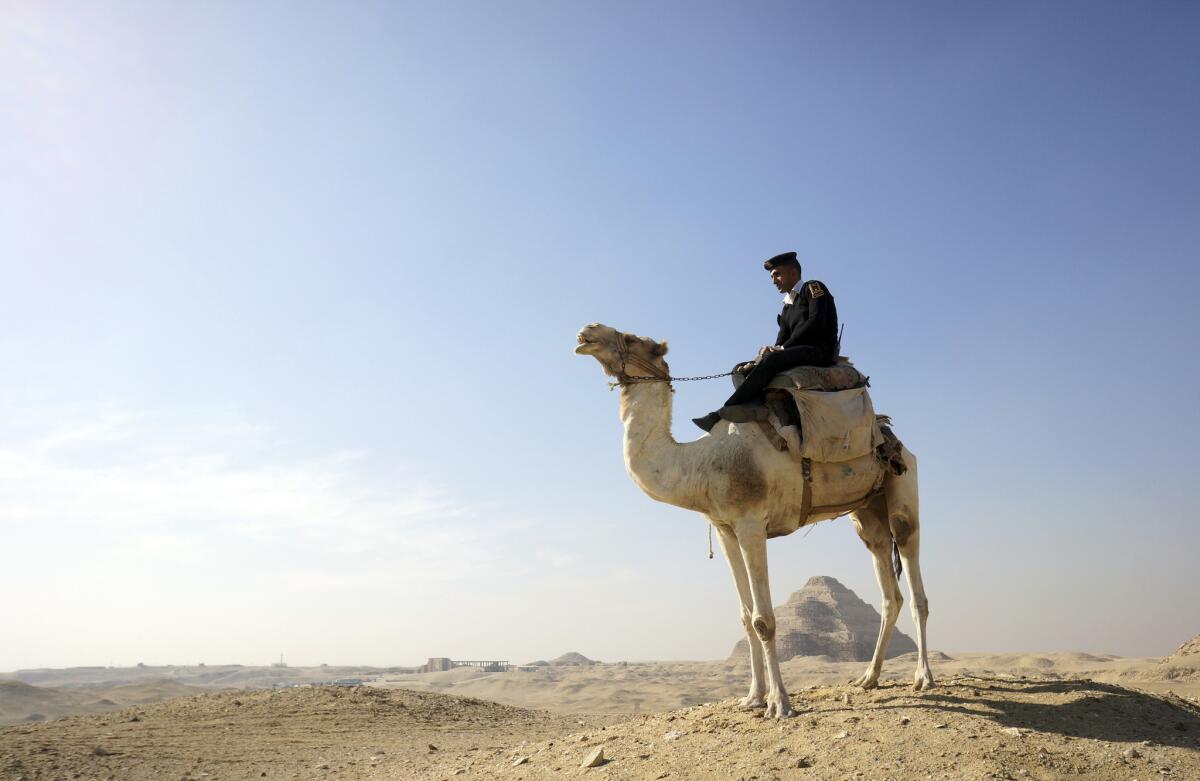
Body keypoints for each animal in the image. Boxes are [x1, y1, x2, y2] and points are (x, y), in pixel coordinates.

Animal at [576, 323, 931, 719]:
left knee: (913, 578)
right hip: (866, 510)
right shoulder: (726, 529)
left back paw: (923, 678)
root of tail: (889, 433)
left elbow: (764, 620)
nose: (588, 331)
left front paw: (779, 704)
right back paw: (869, 677)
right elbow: (746, 618)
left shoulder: (750, 523)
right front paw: (753, 697)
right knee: (887, 581)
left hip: (903, 491)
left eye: (634, 339)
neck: (699, 462)